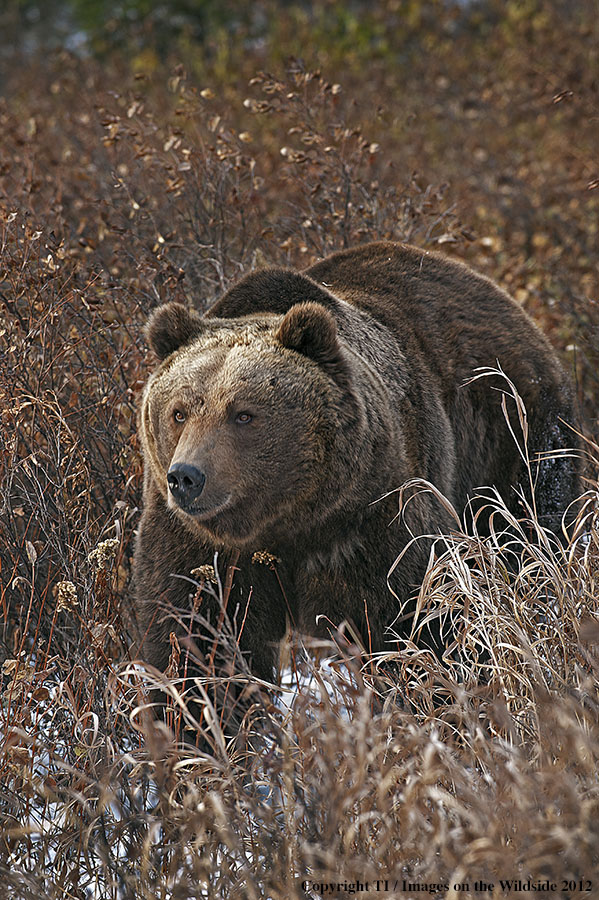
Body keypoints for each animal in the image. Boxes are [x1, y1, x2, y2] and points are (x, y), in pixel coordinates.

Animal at [134, 239, 580, 684]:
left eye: (243, 414)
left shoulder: (376, 516)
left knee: (529, 538)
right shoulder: (199, 545)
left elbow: (412, 618)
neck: (290, 522)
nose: (187, 477)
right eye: (179, 412)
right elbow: (196, 635)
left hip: (514, 437)